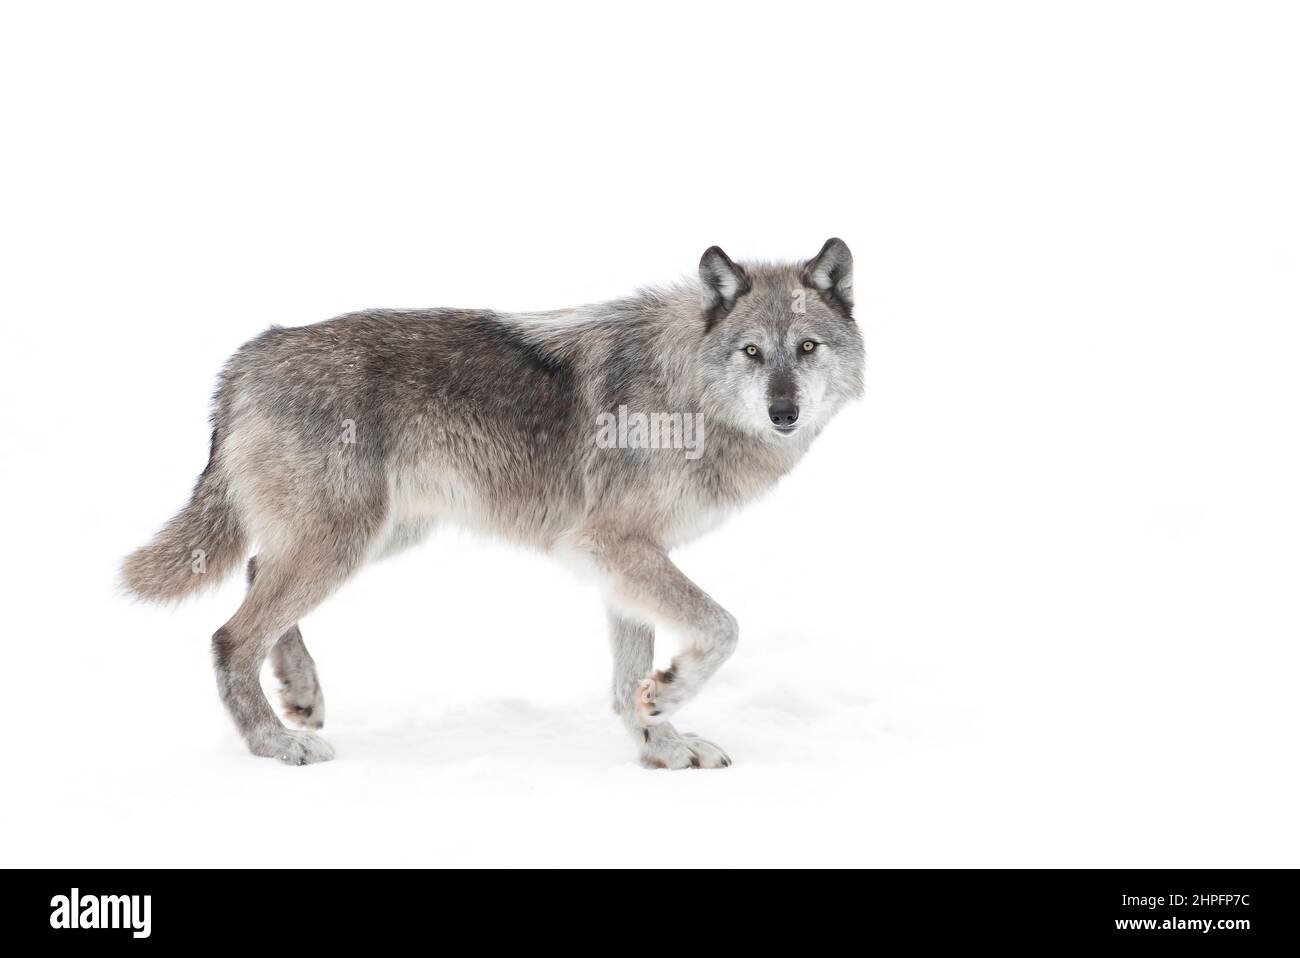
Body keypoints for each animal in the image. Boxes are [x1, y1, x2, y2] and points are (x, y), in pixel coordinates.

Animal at [122, 238, 864, 768]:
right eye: (751, 352)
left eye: (807, 348)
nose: (784, 412)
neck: (687, 391)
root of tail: (250, 355)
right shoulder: (612, 544)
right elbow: (722, 626)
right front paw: (672, 692)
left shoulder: (621, 558)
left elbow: (631, 677)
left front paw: (662, 744)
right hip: (347, 541)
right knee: (230, 636)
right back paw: (277, 745)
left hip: (378, 536)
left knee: (253, 575)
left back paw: (301, 695)